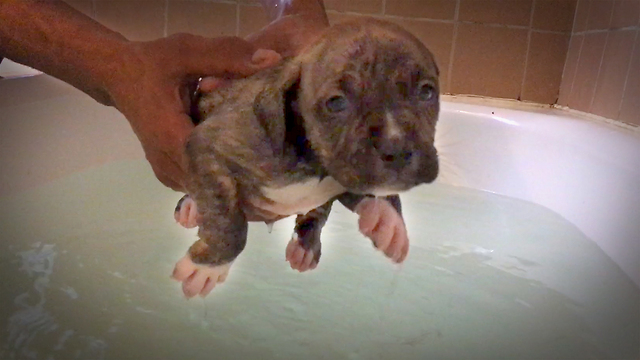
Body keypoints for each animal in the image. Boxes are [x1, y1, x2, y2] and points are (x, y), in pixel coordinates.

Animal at [170, 17, 440, 298]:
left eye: (426, 92)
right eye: (336, 103)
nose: (396, 149)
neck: (314, 161)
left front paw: (388, 218)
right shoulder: (209, 145)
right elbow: (228, 219)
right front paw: (208, 265)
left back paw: (306, 244)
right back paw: (190, 206)